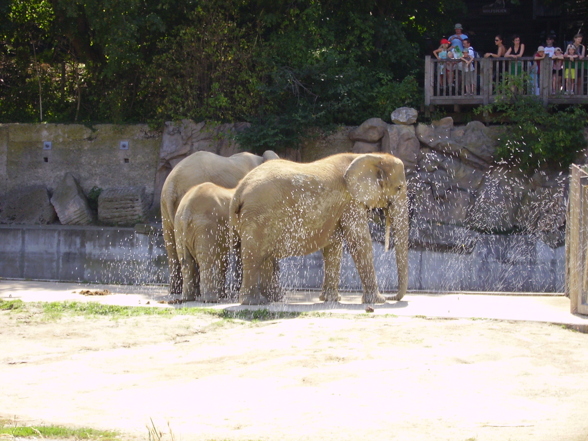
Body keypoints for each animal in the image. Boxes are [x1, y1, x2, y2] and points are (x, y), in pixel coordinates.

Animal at [230, 151, 408, 302]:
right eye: (399, 188)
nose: (391, 297)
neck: (370, 156)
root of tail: (238, 191)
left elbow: (334, 248)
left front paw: (331, 300)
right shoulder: (350, 201)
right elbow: (360, 241)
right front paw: (378, 301)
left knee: (265, 256)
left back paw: (272, 300)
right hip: (257, 215)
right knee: (254, 256)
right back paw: (253, 302)